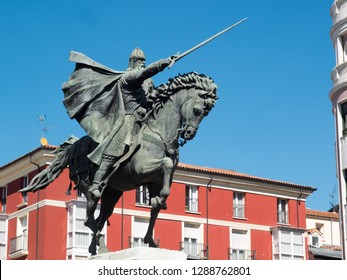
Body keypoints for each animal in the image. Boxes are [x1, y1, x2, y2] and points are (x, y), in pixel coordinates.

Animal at [23, 71, 218, 255]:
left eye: (206, 113)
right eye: (197, 110)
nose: (189, 133)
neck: (158, 132)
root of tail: (74, 146)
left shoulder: (155, 181)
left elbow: (156, 204)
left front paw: (151, 236)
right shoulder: (140, 170)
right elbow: (167, 164)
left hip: (111, 194)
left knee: (100, 219)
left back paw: (94, 249)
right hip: (89, 188)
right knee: (88, 219)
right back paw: (101, 246)